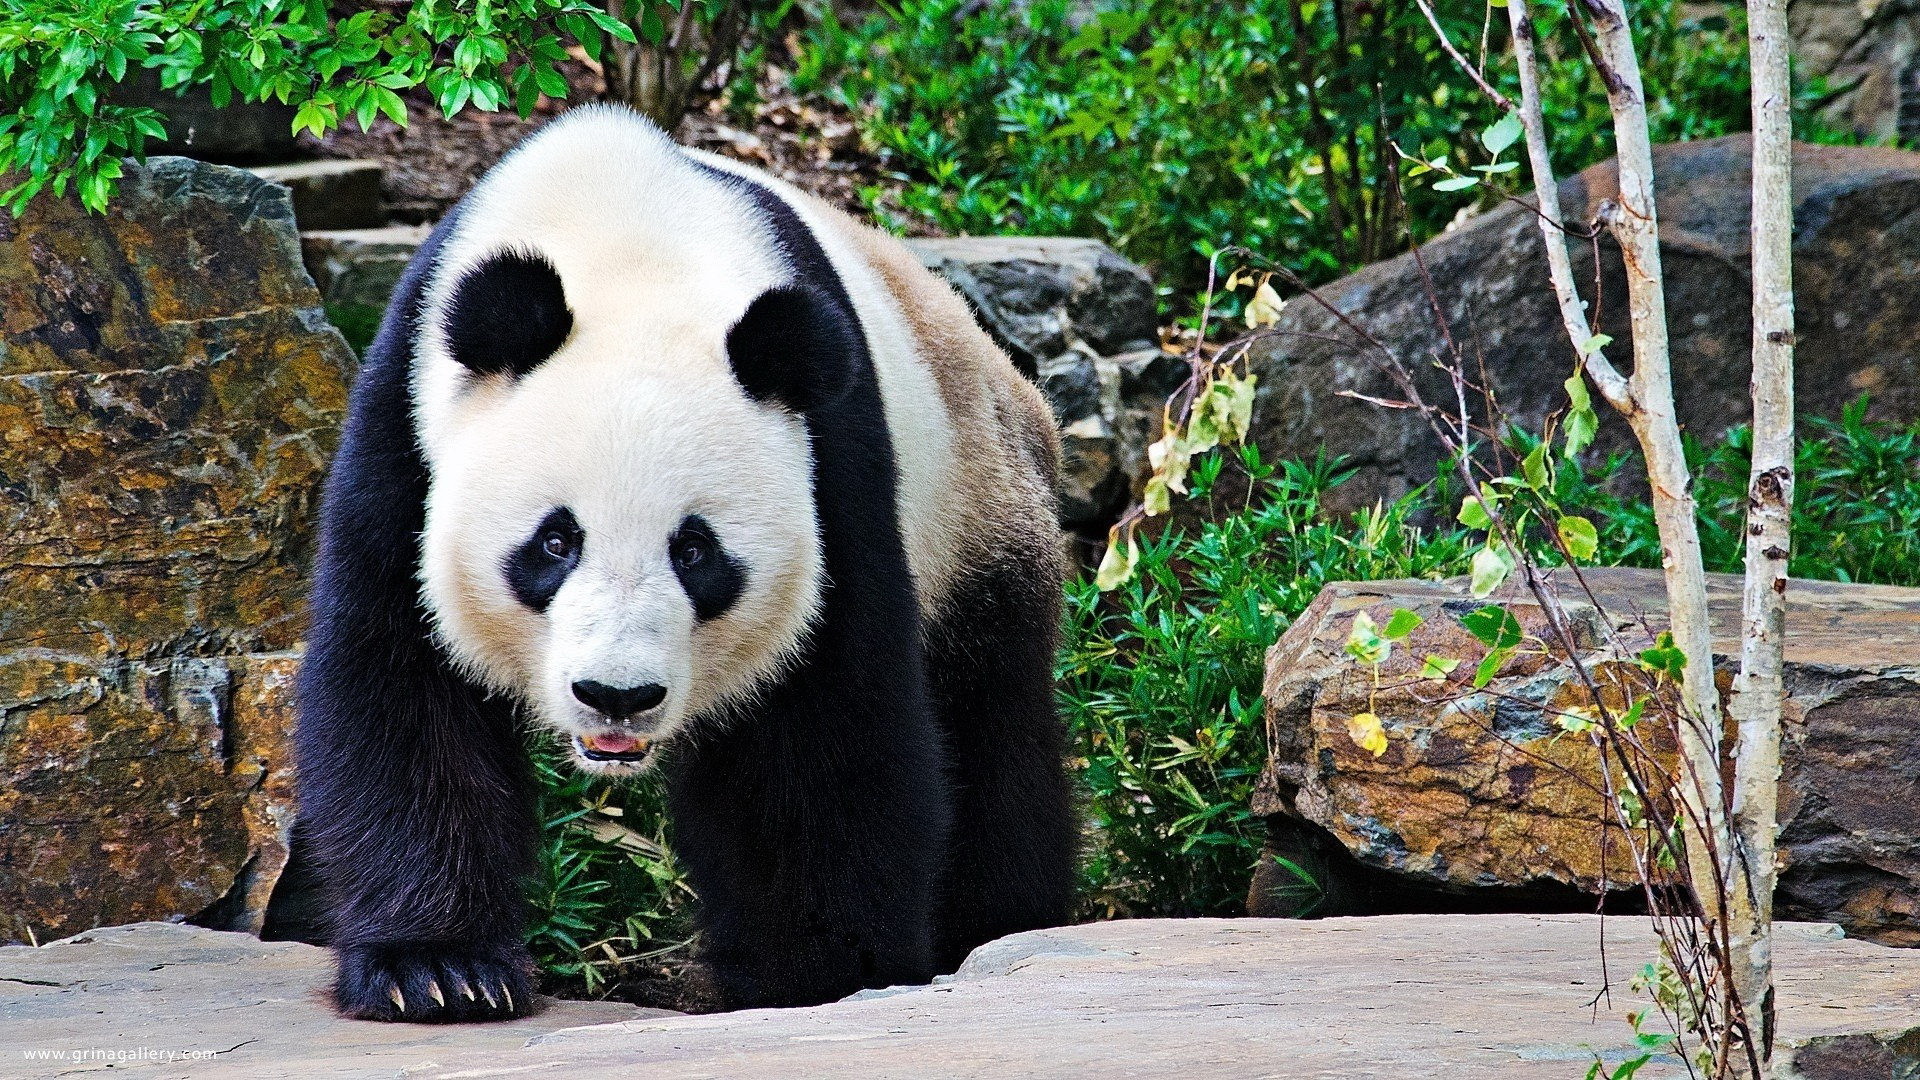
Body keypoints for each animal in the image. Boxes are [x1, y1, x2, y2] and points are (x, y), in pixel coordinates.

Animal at [292, 105, 1076, 1022]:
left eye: (695, 550)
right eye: (555, 542)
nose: (617, 696)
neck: (624, 235)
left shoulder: (834, 466)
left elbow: (818, 729)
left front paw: (817, 973)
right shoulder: (404, 431)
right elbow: (401, 682)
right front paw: (441, 972)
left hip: (976, 511)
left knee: (996, 734)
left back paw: (1000, 923)